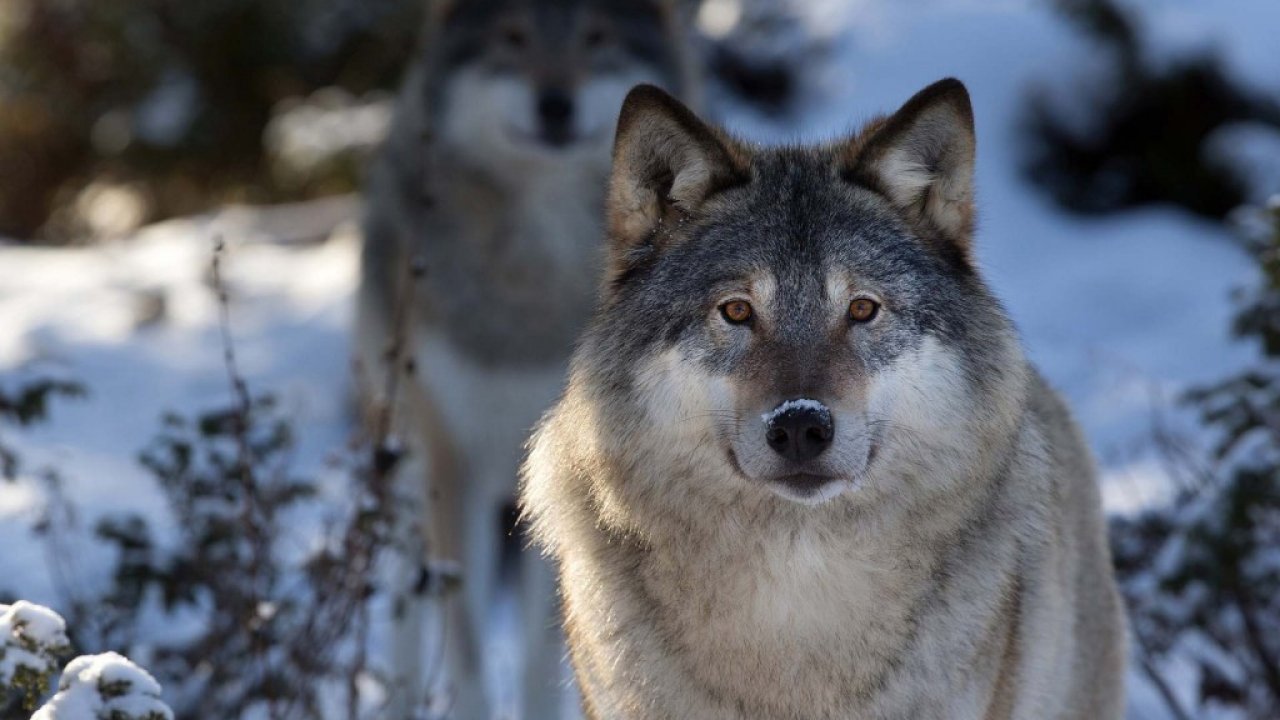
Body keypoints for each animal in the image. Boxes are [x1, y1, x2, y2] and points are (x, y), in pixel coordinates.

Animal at [356, 2, 698, 717]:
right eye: (512, 38)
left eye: (595, 38)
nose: (555, 104)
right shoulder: (451, 466)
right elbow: (465, 648)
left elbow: (549, 649)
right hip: (405, 462)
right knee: (405, 604)